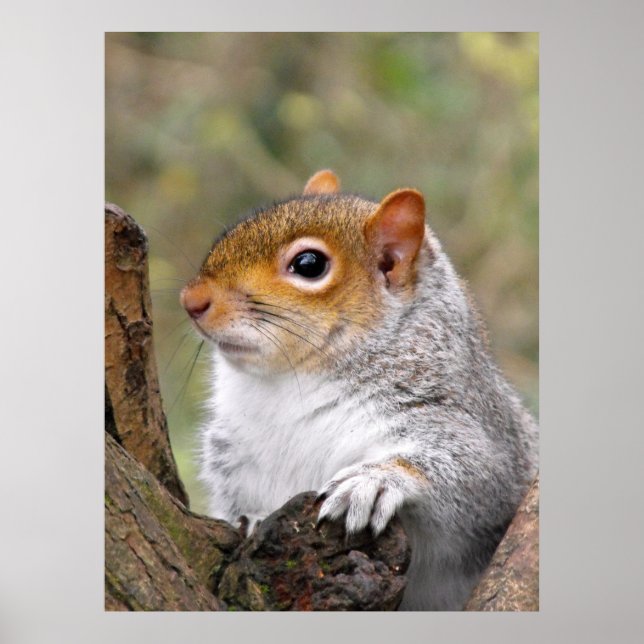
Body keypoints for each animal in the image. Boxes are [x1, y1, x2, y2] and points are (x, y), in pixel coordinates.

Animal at [180, 169, 538, 611]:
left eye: (309, 264)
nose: (191, 300)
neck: (288, 383)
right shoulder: (231, 456)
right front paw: (255, 520)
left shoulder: (469, 424)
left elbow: (481, 477)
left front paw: (375, 480)